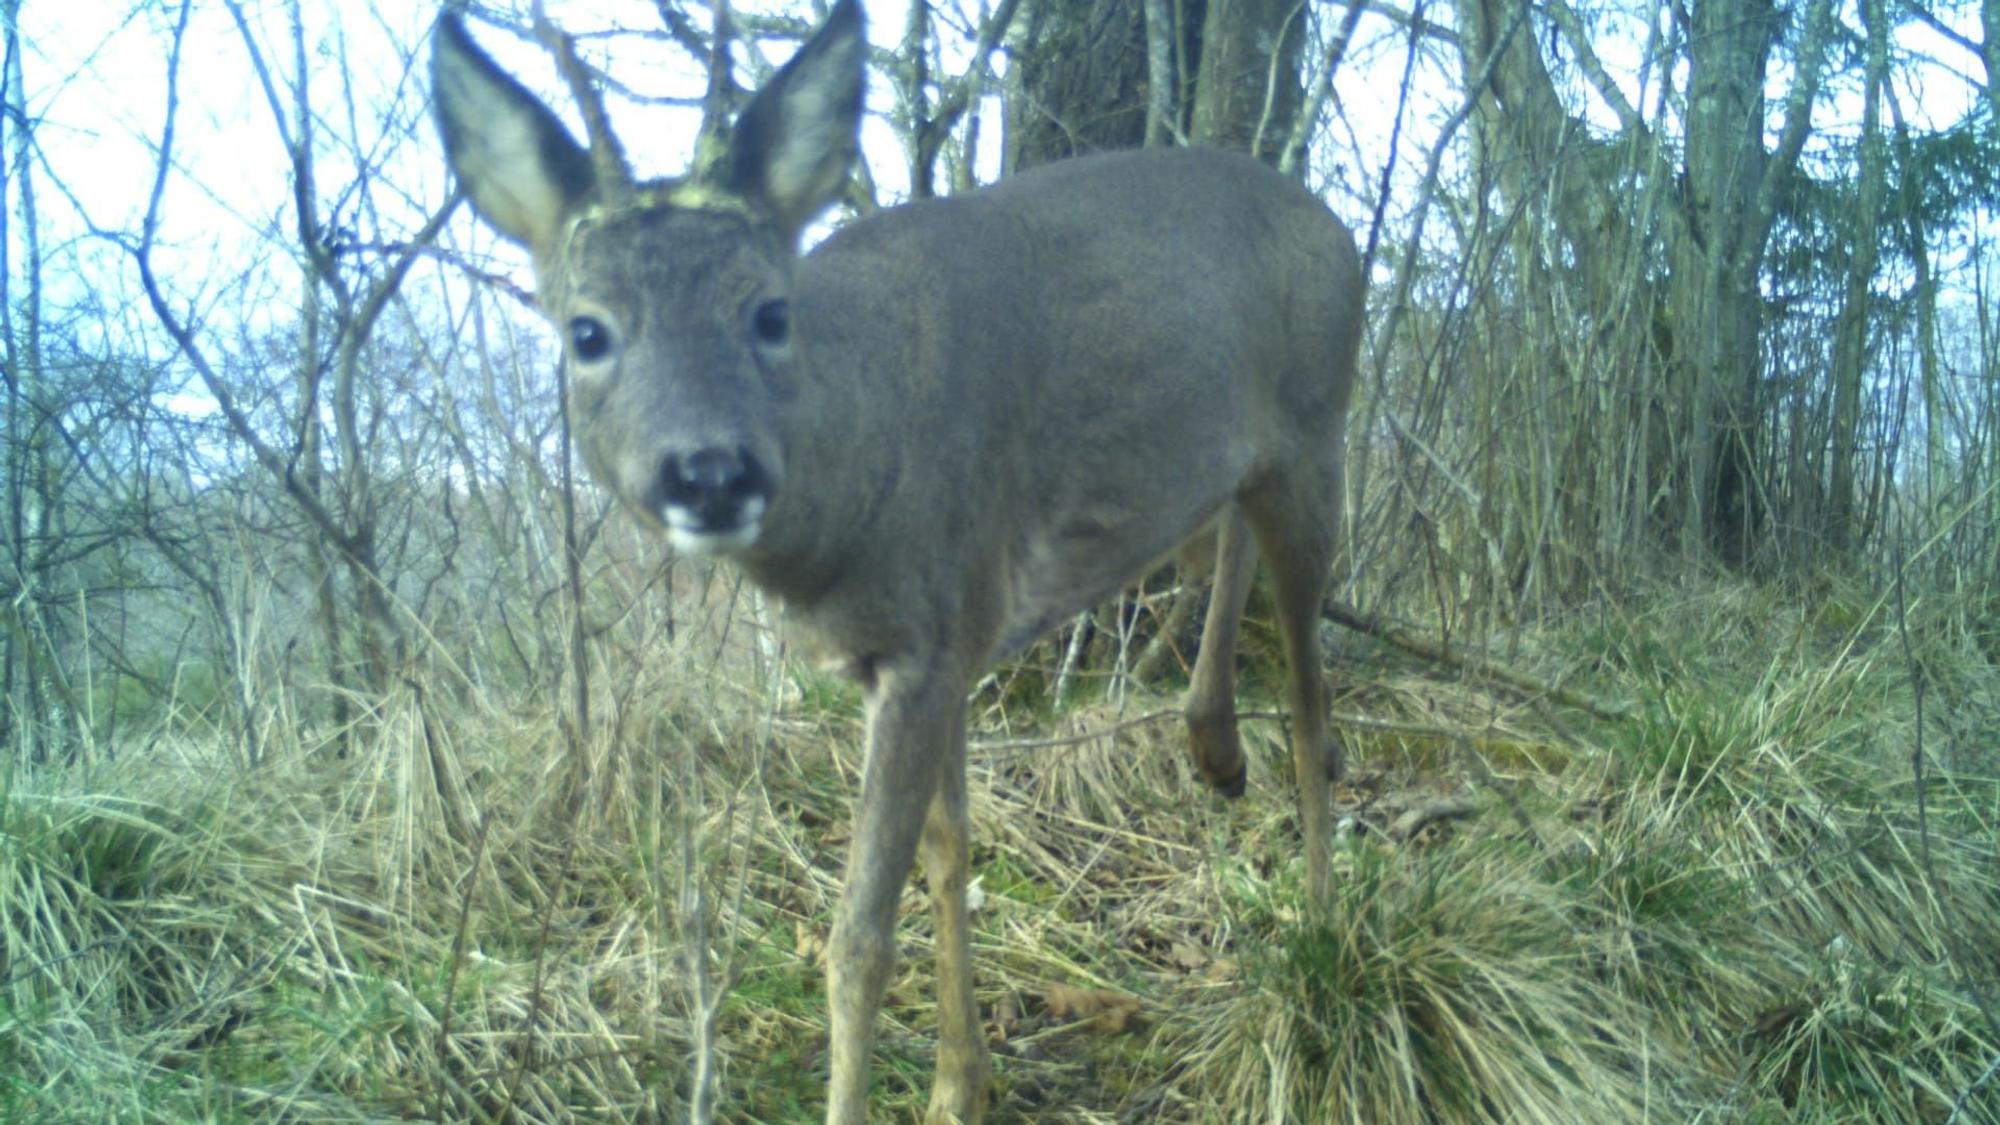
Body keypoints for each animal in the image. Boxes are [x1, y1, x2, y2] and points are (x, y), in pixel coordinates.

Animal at [430, 1, 1360, 1120]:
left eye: (768, 312)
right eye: (586, 331)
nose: (710, 471)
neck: (844, 508)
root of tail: (1343, 230)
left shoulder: (925, 643)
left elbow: (857, 937)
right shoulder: (948, 643)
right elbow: (951, 849)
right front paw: (962, 1084)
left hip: (1317, 427)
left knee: (1311, 702)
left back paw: (1320, 934)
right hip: (1232, 458)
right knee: (1222, 534)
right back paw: (1213, 746)